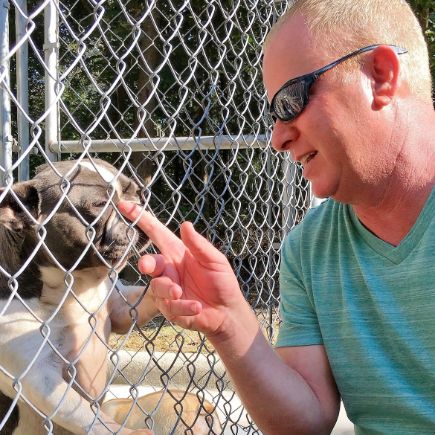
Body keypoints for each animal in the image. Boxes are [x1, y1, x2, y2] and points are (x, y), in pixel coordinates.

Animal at [0, 158, 158, 434]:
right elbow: (90, 417)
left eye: (136, 193)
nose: (138, 206)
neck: (76, 288)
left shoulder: (116, 306)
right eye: (99, 204)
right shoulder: (39, 377)